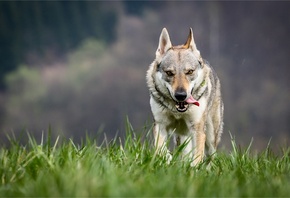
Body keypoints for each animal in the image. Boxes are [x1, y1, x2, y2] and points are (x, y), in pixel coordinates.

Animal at [146, 27, 223, 166]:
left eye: (190, 72)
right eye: (169, 73)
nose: (181, 95)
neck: (177, 111)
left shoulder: (197, 128)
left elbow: (197, 158)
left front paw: (194, 169)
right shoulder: (160, 125)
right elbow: (161, 150)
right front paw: (168, 160)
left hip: (210, 137)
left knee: (210, 157)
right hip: (183, 136)